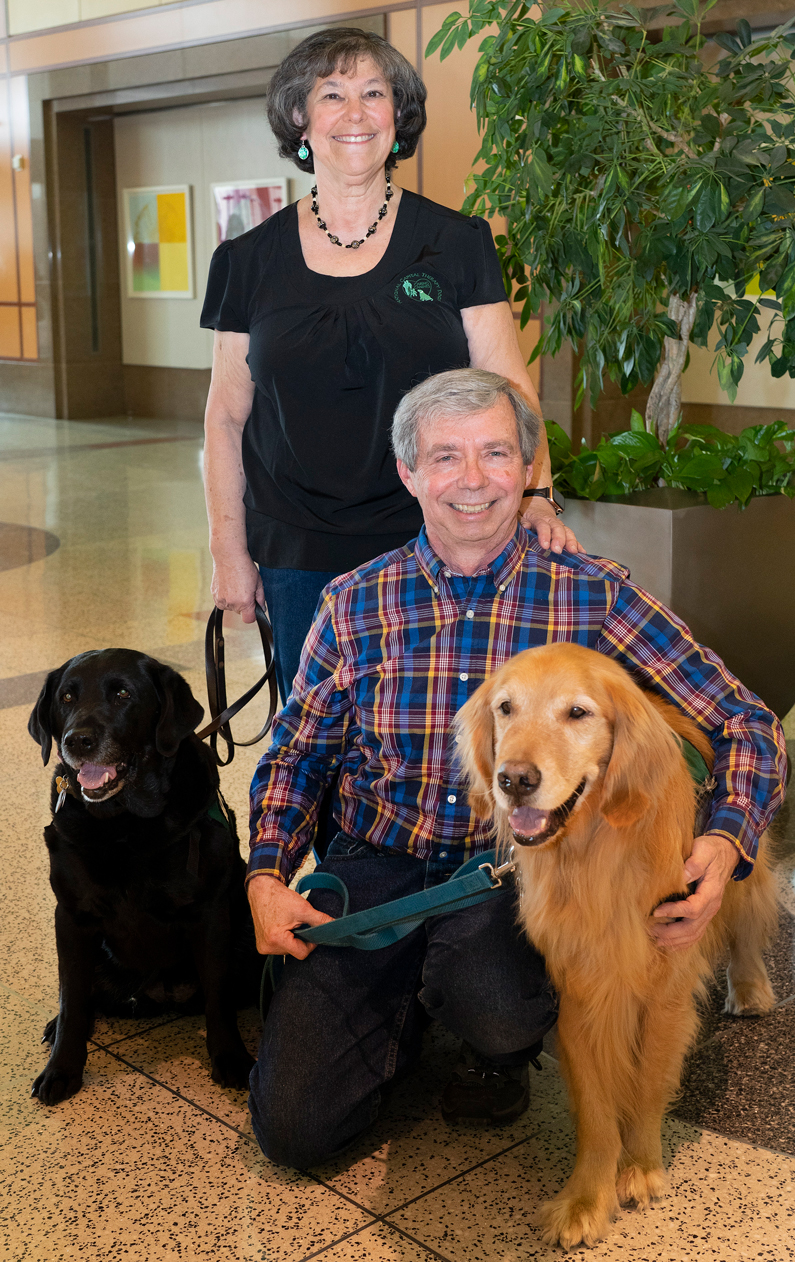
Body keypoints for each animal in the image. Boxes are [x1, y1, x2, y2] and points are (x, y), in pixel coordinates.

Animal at [27, 651, 258, 1105]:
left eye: (123, 694)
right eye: (66, 697)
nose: (77, 741)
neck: (124, 827)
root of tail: (157, 996)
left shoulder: (210, 914)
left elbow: (219, 995)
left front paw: (230, 1056)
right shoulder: (72, 917)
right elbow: (73, 999)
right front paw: (62, 1068)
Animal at [454, 646, 777, 1246]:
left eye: (578, 713)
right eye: (506, 708)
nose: (513, 780)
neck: (594, 854)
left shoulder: (666, 990)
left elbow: (648, 1083)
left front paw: (643, 1167)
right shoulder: (578, 992)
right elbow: (596, 1109)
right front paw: (586, 1199)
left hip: (739, 862)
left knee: (747, 915)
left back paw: (749, 987)